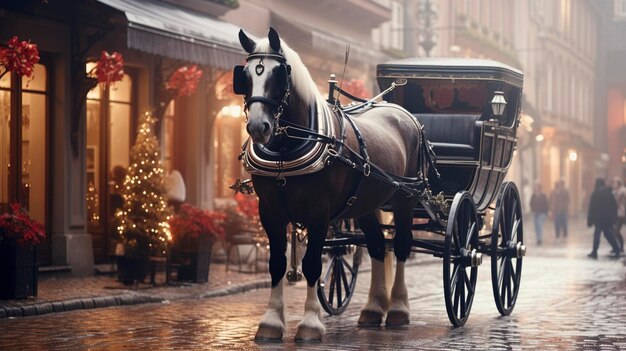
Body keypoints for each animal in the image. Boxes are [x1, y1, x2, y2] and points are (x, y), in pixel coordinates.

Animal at [235, 28, 428, 344]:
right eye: (246, 75)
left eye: (279, 74)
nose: (258, 128)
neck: (287, 149)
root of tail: (403, 113)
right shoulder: (270, 212)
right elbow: (276, 263)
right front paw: (271, 323)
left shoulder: (319, 213)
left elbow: (313, 263)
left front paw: (310, 324)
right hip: (366, 205)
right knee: (377, 247)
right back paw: (373, 309)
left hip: (405, 200)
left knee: (401, 247)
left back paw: (399, 309)